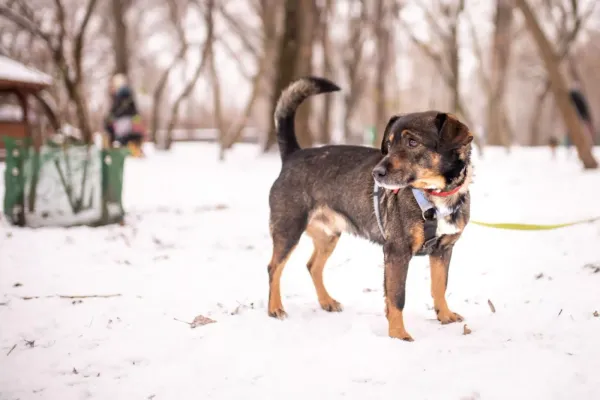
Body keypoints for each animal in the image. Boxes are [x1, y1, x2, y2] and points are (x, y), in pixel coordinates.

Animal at [268, 76, 474, 340]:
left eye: (412, 142)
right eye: (389, 144)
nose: (377, 173)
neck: (435, 196)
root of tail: (293, 155)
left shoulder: (443, 250)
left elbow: (440, 286)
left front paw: (444, 316)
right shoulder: (396, 252)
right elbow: (397, 298)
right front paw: (398, 335)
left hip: (328, 235)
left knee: (312, 266)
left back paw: (327, 302)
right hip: (288, 229)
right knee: (274, 268)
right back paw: (275, 308)